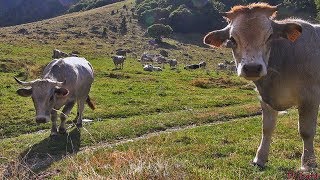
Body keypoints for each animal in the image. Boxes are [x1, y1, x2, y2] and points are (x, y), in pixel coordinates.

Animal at [202, 3, 320, 172]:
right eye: (232, 39)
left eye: (270, 36)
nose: (252, 68)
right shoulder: (265, 98)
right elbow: (267, 128)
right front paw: (260, 159)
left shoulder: (310, 95)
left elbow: (306, 131)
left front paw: (308, 164)